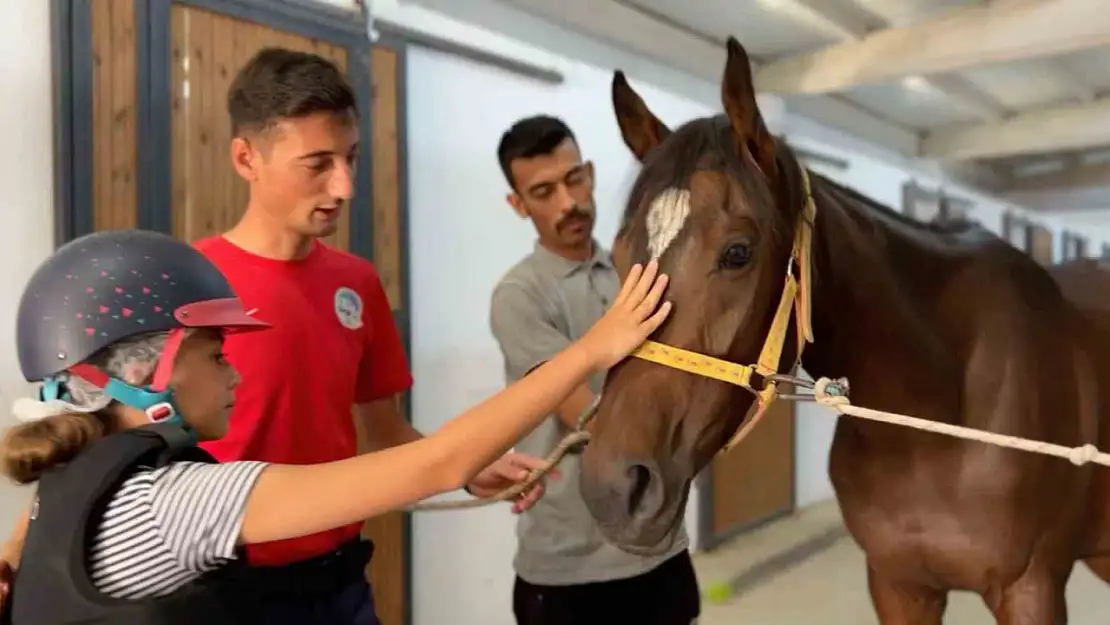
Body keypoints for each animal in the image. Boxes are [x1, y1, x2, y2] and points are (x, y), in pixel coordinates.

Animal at [581, 36, 1110, 621]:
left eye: (738, 253)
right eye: (620, 253)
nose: (612, 489)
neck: (937, 416)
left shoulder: (1032, 589)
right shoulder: (898, 584)